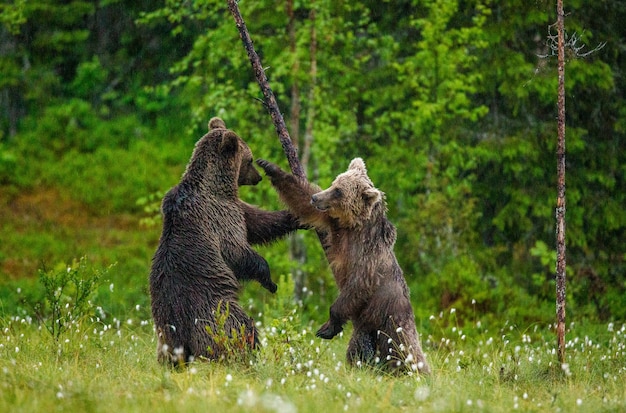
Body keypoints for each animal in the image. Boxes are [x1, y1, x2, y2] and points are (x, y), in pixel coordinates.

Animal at [149, 116, 300, 364]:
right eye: (250, 159)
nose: (258, 177)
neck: (216, 186)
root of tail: (179, 333)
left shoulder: (235, 208)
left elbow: (259, 222)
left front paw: (297, 216)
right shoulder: (219, 217)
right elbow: (238, 251)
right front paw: (271, 282)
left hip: (164, 331)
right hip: (214, 312)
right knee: (241, 327)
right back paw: (249, 352)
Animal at [255, 157, 428, 374]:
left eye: (338, 190)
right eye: (334, 183)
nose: (316, 197)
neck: (355, 226)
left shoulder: (367, 257)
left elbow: (356, 286)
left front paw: (327, 327)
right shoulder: (334, 225)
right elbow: (302, 202)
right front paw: (269, 166)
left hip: (390, 318)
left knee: (403, 348)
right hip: (365, 329)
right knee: (358, 349)